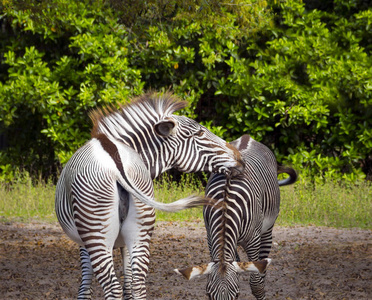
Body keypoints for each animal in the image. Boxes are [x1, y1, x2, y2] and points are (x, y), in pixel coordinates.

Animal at [53, 92, 243, 300]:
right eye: (199, 134)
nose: (240, 158)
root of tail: (116, 163)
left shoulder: (84, 243)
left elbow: (86, 286)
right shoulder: (120, 241)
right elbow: (126, 285)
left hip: (97, 230)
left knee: (113, 288)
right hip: (138, 226)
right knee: (138, 285)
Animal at [174, 134, 296, 300]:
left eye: (237, 295)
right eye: (209, 295)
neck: (226, 210)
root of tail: (247, 137)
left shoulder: (253, 241)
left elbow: (256, 284)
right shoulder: (210, 238)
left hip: (267, 231)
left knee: (262, 270)